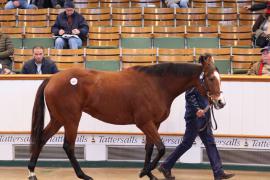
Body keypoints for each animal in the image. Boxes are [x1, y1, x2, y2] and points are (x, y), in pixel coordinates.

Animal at [28, 54, 226, 180]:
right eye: (210, 78)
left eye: (219, 77)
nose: (221, 102)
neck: (157, 84)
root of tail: (52, 79)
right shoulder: (144, 123)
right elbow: (161, 148)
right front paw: (145, 172)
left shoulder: (154, 124)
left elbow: (150, 148)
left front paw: (149, 174)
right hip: (71, 119)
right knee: (68, 146)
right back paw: (84, 175)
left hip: (58, 119)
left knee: (41, 139)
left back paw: (32, 172)